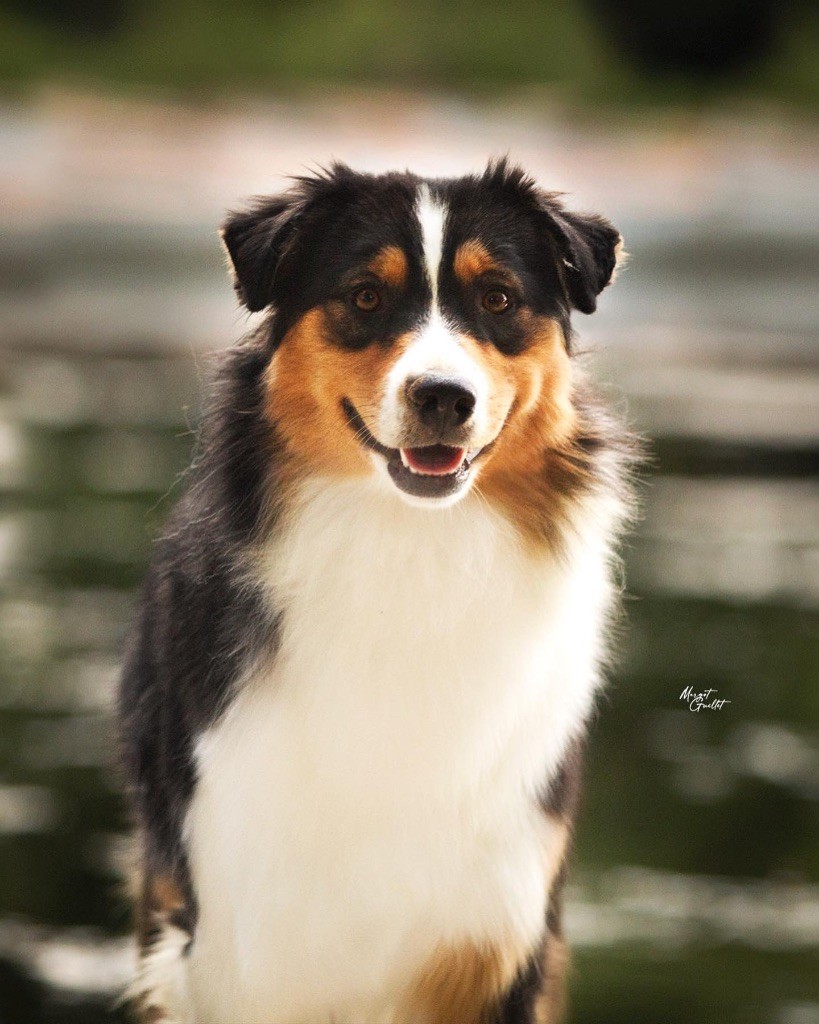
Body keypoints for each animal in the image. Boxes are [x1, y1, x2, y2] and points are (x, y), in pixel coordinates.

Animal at [118, 159, 634, 1024]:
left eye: (498, 299)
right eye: (364, 296)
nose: (444, 397)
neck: (412, 550)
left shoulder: (494, 941)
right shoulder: (239, 942)